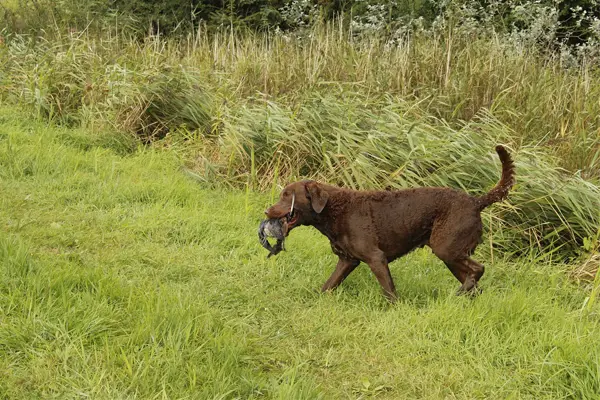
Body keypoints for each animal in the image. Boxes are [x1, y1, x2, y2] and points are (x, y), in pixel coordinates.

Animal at [268, 146, 516, 300]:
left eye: (287, 195)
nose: (266, 210)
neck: (334, 209)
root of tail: (476, 201)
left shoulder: (376, 258)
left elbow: (389, 291)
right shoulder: (347, 260)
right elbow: (328, 284)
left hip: (446, 248)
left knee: (478, 269)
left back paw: (458, 293)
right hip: (452, 255)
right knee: (474, 281)